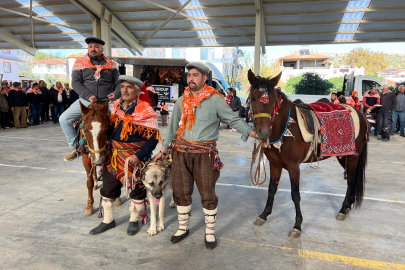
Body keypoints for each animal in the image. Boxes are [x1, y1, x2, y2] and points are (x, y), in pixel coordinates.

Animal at [248, 69, 368, 238]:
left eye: (272, 100)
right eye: (253, 98)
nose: (263, 132)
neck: (285, 128)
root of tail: (361, 115)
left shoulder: (293, 168)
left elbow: (295, 195)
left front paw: (297, 226)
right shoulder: (274, 164)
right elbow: (272, 189)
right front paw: (264, 215)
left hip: (352, 157)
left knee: (351, 181)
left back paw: (343, 209)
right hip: (343, 156)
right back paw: (348, 206)